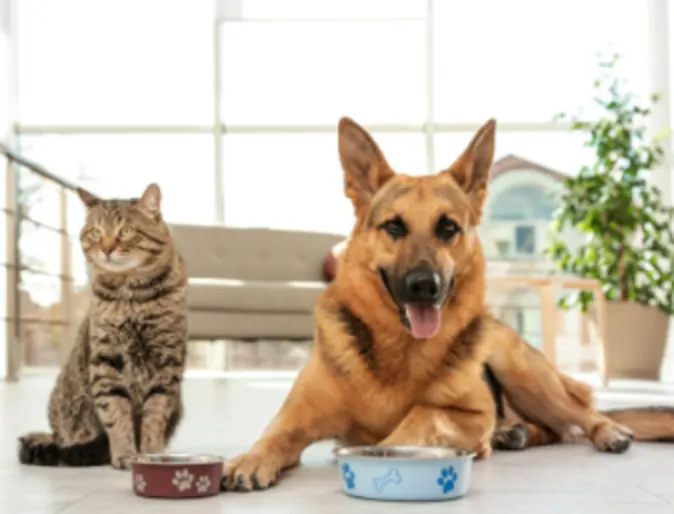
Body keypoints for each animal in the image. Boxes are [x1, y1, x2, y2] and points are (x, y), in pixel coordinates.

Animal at [18, 184, 186, 468]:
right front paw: (125, 454)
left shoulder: (166, 361)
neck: (132, 296)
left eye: (125, 231)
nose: (106, 249)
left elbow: (155, 415)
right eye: (96, 233)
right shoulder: (106, 361)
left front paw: (152, 453)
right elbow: (116, 412)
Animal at [222, 116, 672, 488]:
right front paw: (249, 459)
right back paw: (516, 433)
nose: (425, 286)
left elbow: (422, 413)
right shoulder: (293, 419)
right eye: (394, 226)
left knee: (578, 417)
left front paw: (388, 448)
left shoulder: (470, 416)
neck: (398, 350)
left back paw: (606, 432)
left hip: (523, 372)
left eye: (448, 228)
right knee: (552, 430)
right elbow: (272, 437)